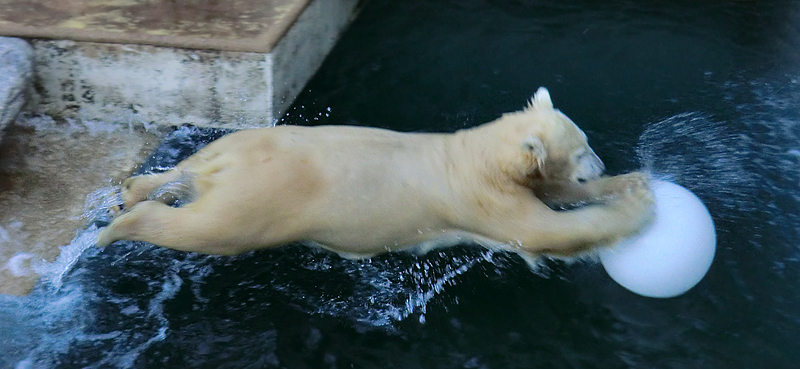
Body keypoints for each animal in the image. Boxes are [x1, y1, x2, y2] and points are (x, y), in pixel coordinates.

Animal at [97, 87, 652, 258]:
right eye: (583, 149)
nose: (601, 162)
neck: (474, 155)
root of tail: (230, 169)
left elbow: (552, 196)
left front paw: (636, 180)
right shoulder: (479, 198)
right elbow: (541, 230)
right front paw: (639, 205)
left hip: (243, 143)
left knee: (190, 167)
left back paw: (133, 189)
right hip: (258, 203)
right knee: (208, 229)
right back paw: (118, 228)